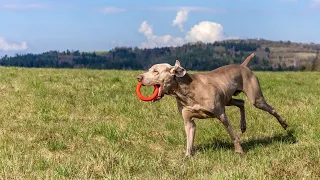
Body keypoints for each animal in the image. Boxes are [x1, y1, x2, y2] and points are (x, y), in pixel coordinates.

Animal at [137, 53, 288, 156]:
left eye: (156, 71)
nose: (139, 77)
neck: (186, 92)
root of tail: (243, 66)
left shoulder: (221, 115)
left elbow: (232, 134)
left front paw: (239, 151)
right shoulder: (188, 121)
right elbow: (189, 139)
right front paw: (187, 157)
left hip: (256, 99)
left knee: (270, 108)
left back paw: (284, 123)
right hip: (228, 99)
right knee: (241, 102)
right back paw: (243, 125)